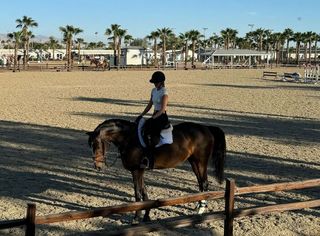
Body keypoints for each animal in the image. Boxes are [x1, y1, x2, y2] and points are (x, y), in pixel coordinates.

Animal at [85, 118, 225, 223]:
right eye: (90, 145)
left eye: (97, 145)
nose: (97, 166)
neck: (129, 139)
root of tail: (206, 128)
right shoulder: (140, 171)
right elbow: (144, 192)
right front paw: (147, 216)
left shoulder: (136, 170)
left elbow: (138, 194)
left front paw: (136, 218)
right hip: (194, 161)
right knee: (201, 183)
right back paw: (198, 207)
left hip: (200, 161)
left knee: (204, 183)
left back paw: (200, 210)